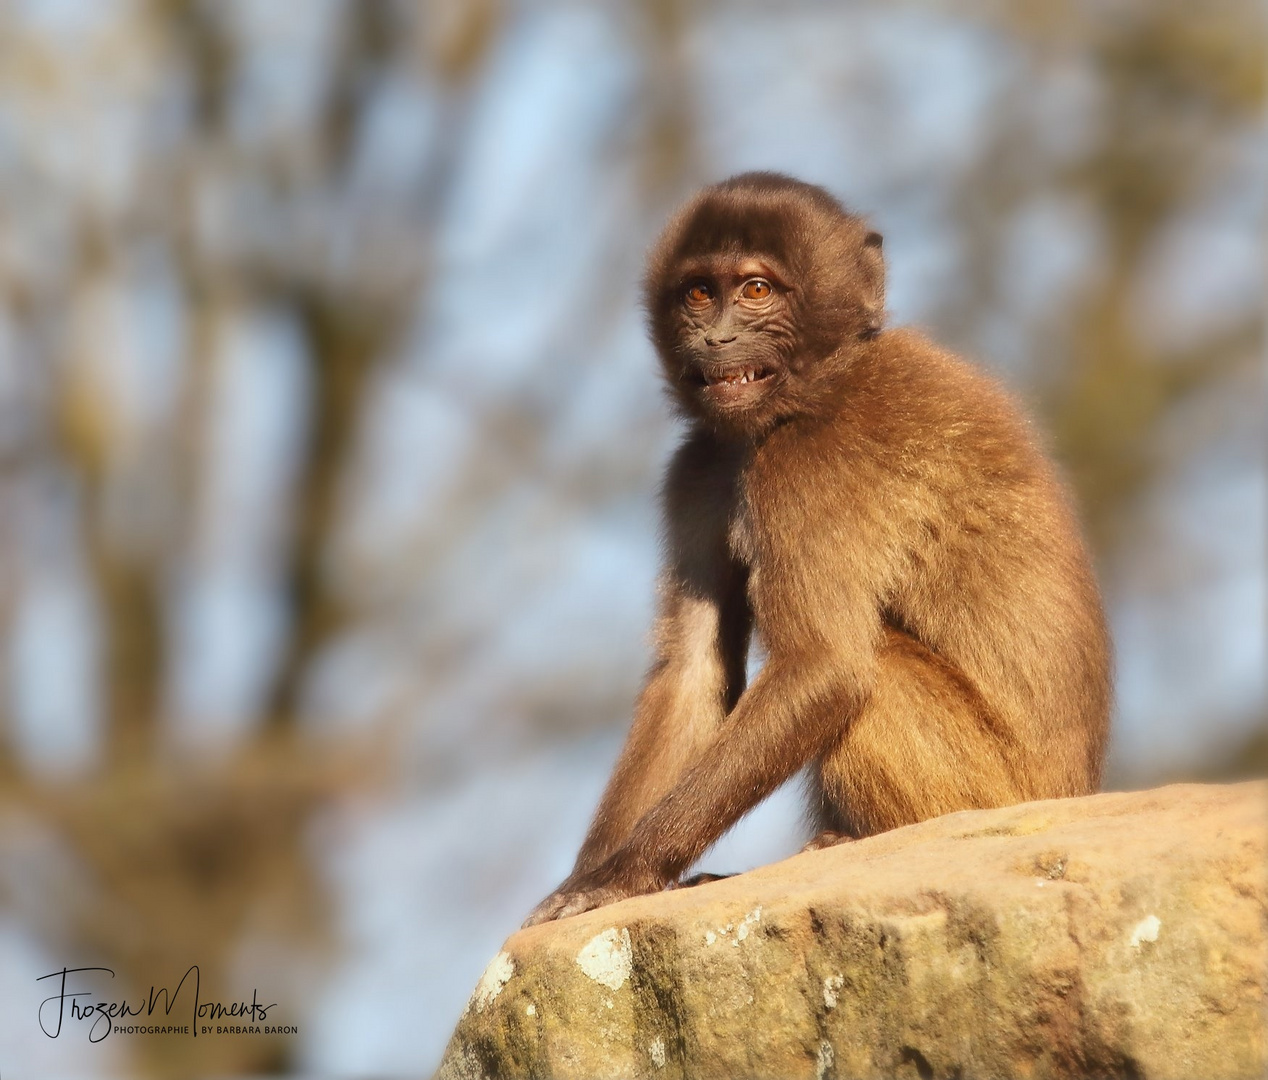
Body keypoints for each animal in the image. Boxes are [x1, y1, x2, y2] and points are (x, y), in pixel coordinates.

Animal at [522, 171, 1110, 927]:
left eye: (756, 290)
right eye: (698, 293)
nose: (716, 338)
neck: (825, 374)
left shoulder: (806, 465)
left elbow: (824, 666)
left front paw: (620, 874)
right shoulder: (698, 467)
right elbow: (694, 672)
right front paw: (591, 877)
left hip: (990, 793)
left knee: (876, 663)